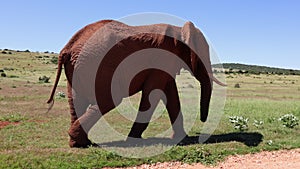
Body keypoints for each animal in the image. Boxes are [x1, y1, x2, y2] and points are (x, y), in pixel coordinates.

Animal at [47, 19, 225, 147]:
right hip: (96, 65)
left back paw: (79, 143)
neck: (180, 29)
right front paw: (133, 141)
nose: (203, 120)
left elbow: (170, 94)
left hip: (79, 67)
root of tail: (67, 48)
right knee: (110, 99)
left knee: (76, 101)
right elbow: (153, 94)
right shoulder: (162, 58)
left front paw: (181, 139)